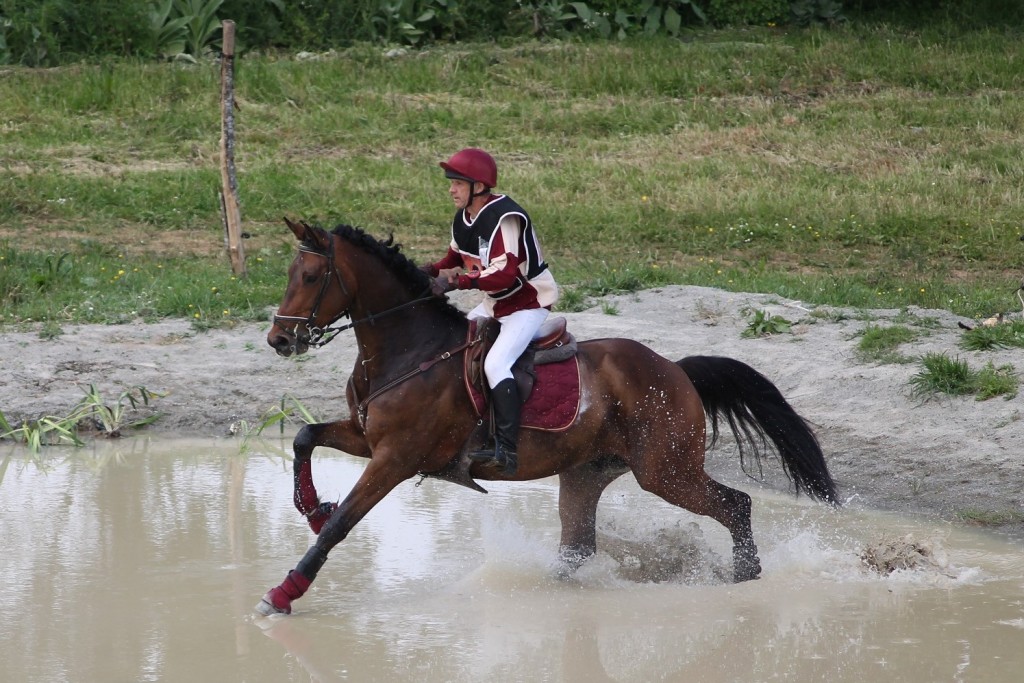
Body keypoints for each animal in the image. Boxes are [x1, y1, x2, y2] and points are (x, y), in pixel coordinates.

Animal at [256, 220, 839, 618]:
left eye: (311, 275)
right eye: (289, 274)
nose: (280, 339)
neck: (408, 349)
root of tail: (675, 369)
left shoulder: (395, 458)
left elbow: (341, 526)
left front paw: (284, 592)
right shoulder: (365, 437)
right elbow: (305, 437)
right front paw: (311, 506)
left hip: (666, 472)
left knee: (734, 505)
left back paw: (747, 576)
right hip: (586, 473)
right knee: (578, 548)